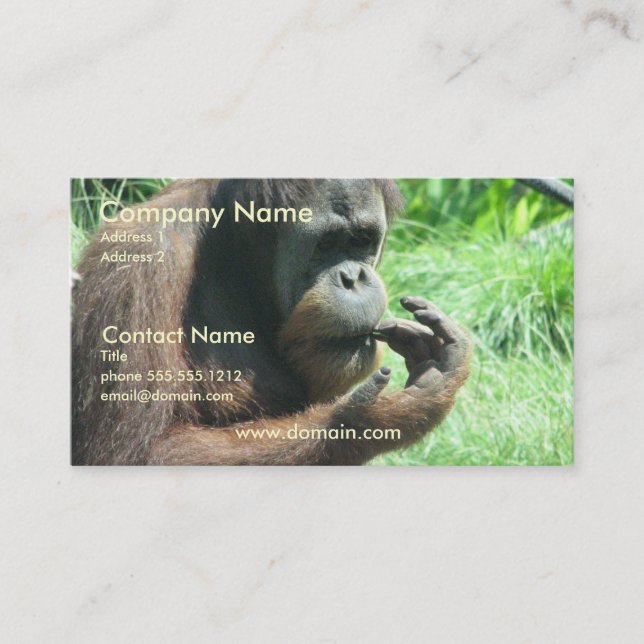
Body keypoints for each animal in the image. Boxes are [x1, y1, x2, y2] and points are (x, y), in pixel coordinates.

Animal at [71, 179, 471, 465]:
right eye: (326, 244)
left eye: (361, 240)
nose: (353, 278)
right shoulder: (137, 267)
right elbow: (138, 453)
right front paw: (372, 419)